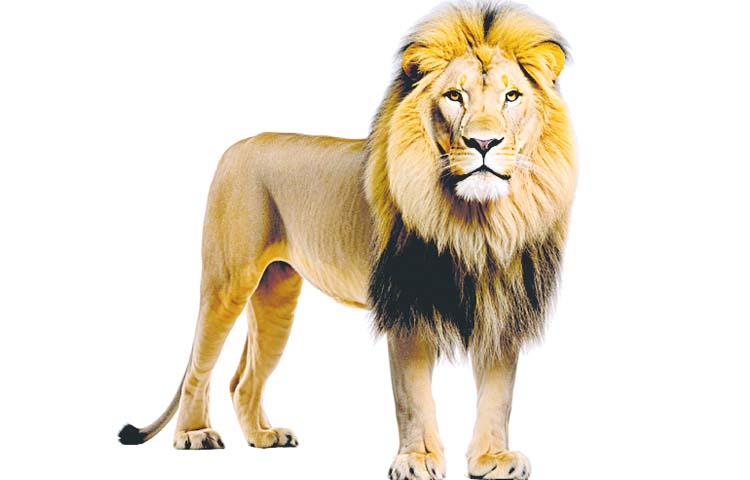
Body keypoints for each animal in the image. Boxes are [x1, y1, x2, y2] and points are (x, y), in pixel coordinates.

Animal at [118, 3, 575, 480]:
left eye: (512, 97)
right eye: (454, 96)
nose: (483, 142)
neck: (479, 223)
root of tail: (238, 146)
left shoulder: (503, 307)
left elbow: (498, 395)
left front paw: (493, 458)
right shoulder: (406, 308)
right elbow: (413, 396)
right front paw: (417, 459)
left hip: (276, 294)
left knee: (242, 379)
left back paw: (264, 436)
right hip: (228, 280)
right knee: (199, 366)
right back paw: (194, 434)